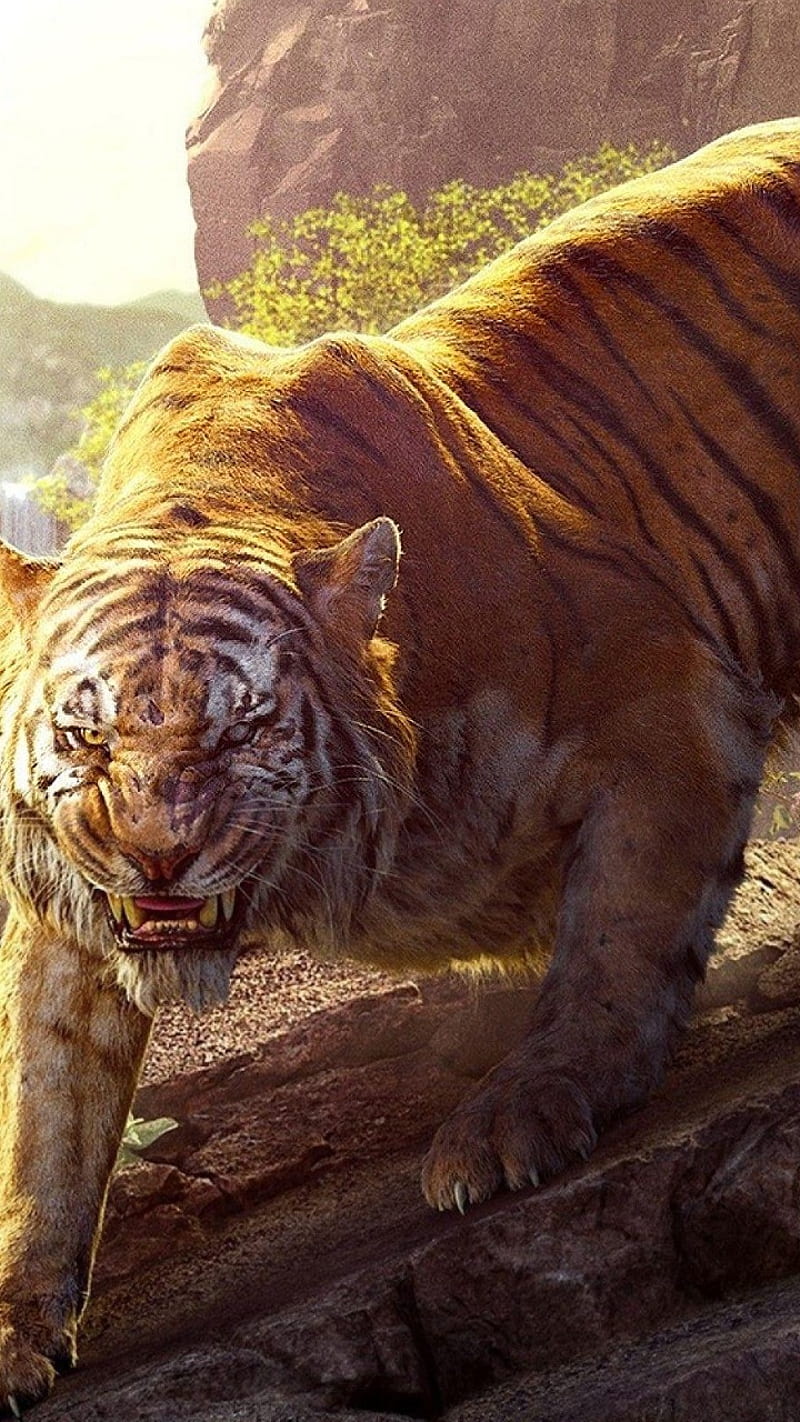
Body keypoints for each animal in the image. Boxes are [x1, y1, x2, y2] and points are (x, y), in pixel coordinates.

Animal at [1, 116, 800, 1409]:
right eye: (86, 735)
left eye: (239, 727)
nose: (155, 864)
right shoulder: (61, 910)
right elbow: (46, 1118)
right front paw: (17, 1321)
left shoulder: (667, 685)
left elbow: (619, 931)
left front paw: (518, 1116)